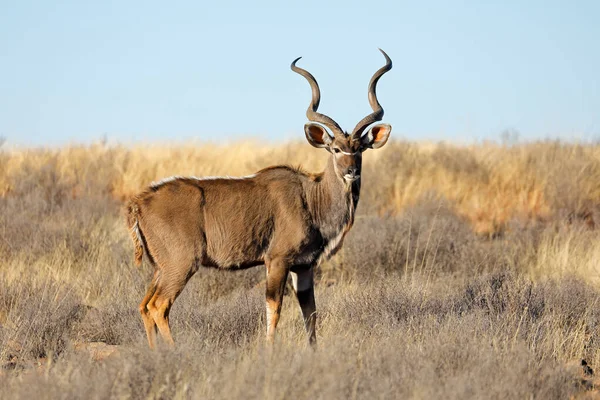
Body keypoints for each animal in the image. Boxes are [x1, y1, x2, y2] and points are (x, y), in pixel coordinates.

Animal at [125, 48, 394, 346]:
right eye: (335, 148)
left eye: (359, 149)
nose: (351, 172)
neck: (311, 198)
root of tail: (139, 204)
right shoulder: (277, 260)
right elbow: (273, 307)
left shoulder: (304, 267)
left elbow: (310, 312)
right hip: (180, 264)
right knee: (158, 305)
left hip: (161, 268)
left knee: (144, 305)